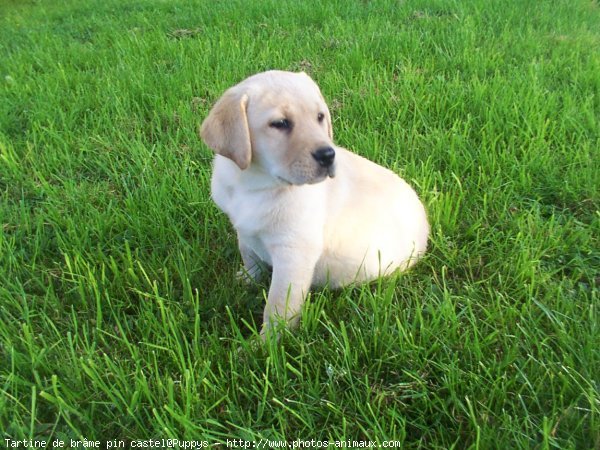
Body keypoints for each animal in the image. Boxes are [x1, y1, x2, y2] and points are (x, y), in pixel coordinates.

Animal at [202, 70, 432, 334]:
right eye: (280, 123)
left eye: (320, 117)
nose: (328, 155)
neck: (256, 184)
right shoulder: (243, 228)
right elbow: (249, 253)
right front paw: (248, 279)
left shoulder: (294, 255)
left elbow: (277, 306)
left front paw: (265, 342)